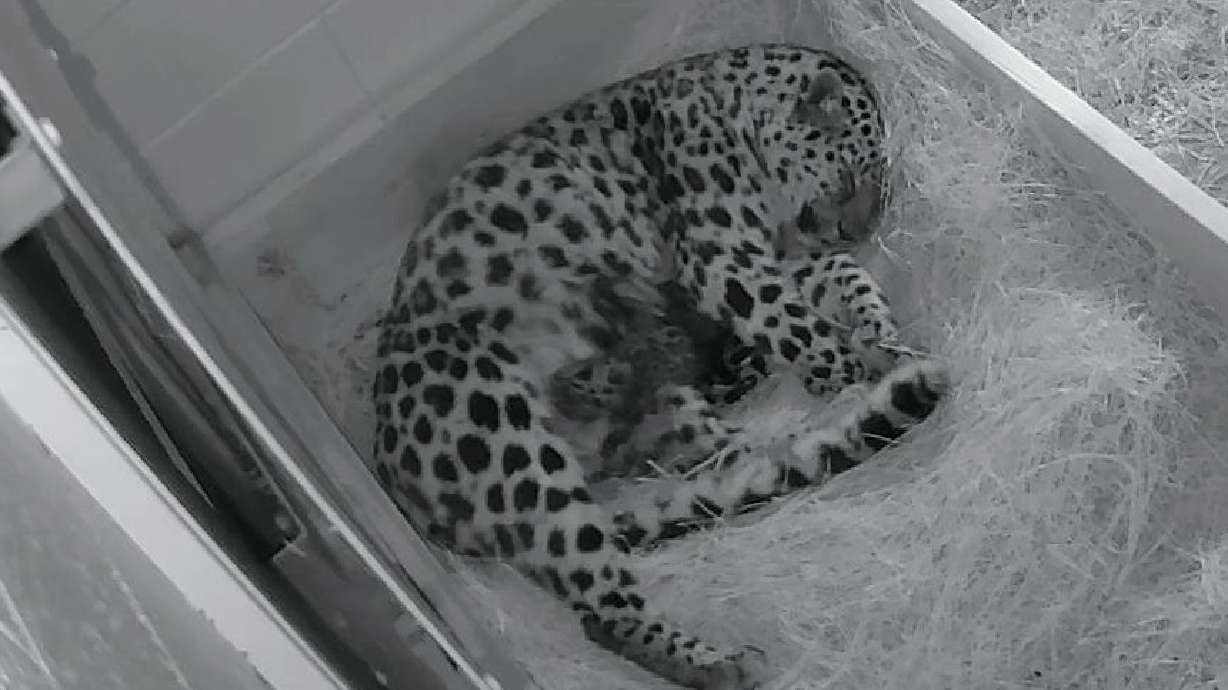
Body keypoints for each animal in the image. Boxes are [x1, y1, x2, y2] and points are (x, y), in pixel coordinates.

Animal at [369, 44, 948, 689]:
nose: (856, 228)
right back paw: (721, 663)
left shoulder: (765, 260)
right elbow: (797, 324)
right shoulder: (726, 261)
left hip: (663, 413)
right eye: (848, 177)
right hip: (504, 436)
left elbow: (842, 277)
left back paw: (791, 448)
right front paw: (849, 370)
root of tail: (396, 480)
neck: (728, 106)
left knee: (715, 462)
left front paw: (881, 336)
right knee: (601, 612)